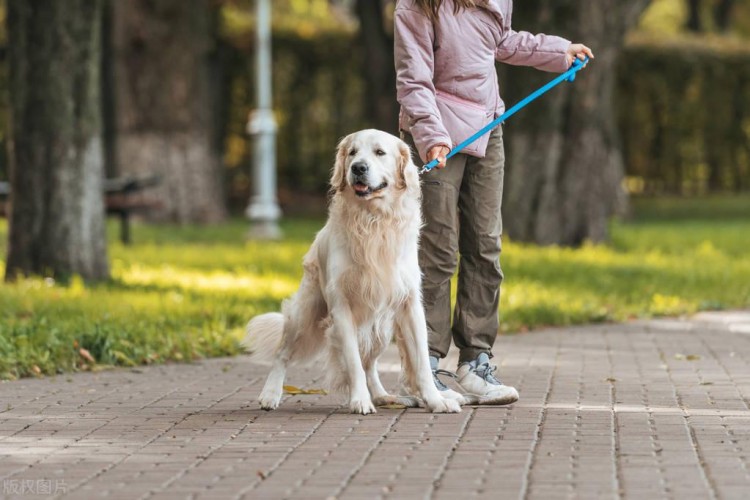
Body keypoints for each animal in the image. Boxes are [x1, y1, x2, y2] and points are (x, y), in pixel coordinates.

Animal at [244, 128, 462, 414]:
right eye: (352, 152)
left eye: (380, 152)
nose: (358, 168)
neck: (373, 220)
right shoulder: (341, 308)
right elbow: (353, 362)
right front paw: (360, 400)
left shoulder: (409, 305)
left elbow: (422, 362)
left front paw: (436, 400)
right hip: (305, 312)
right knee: (284, 353)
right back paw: (270, 394)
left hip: (382, 327)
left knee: (371, 364)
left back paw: (384, 396)